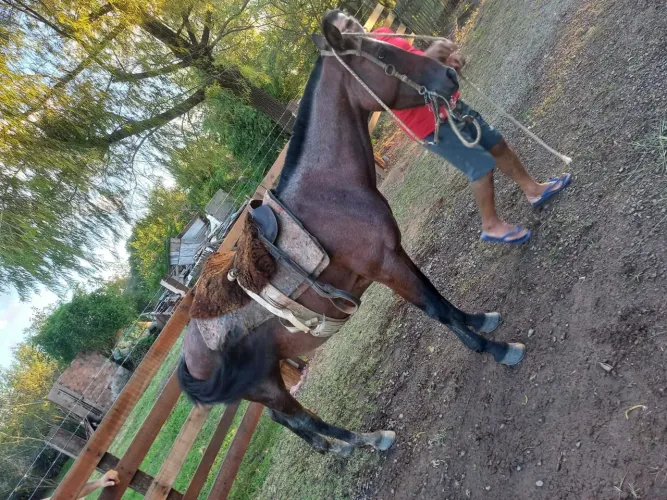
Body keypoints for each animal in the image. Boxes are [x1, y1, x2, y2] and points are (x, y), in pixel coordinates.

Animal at [178, 10, 525, 456]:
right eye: (382, 53)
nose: (450, 72)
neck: (330, 191)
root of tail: (189, 355)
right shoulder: (385, 265)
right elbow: (434, 309)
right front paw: (496, 349)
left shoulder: (394, 252)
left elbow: (436, 294)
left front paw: (480, 320)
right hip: (265, 385)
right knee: (297, 416)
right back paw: (368, 440)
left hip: (266, 381)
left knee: (288, 419)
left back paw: (340, 446)